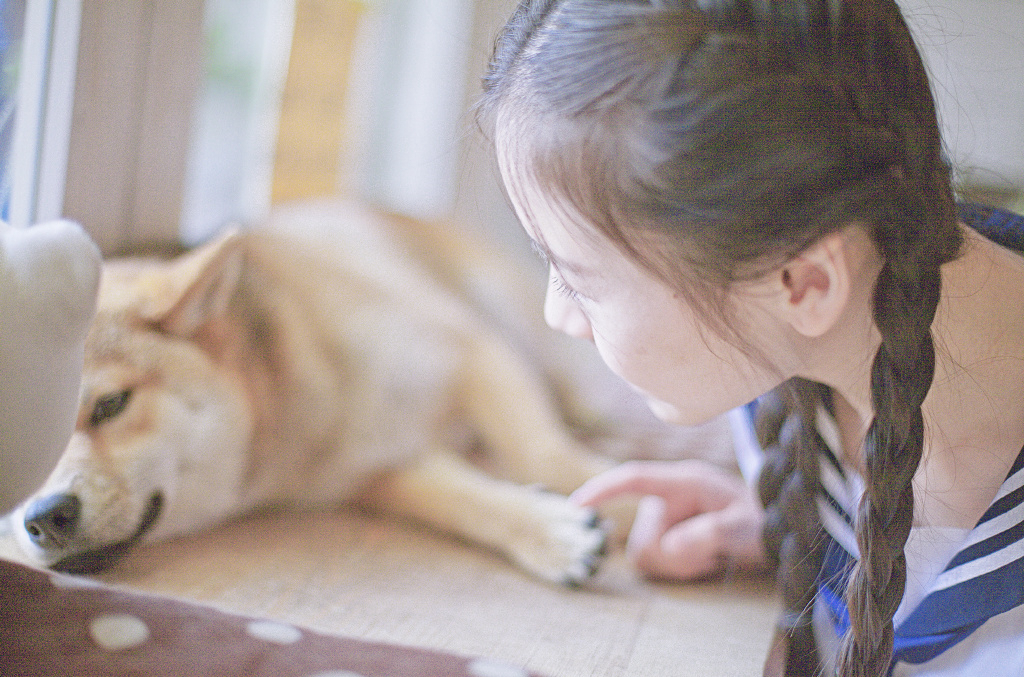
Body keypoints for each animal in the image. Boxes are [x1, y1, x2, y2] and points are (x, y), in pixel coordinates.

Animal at [9, 197, 671, 581]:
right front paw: (549, 531)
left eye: (111, 405)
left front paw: (638, 496)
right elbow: (459, 501)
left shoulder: (468, 348)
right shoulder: (373, 468)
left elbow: (543, 454)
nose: (43, 517)